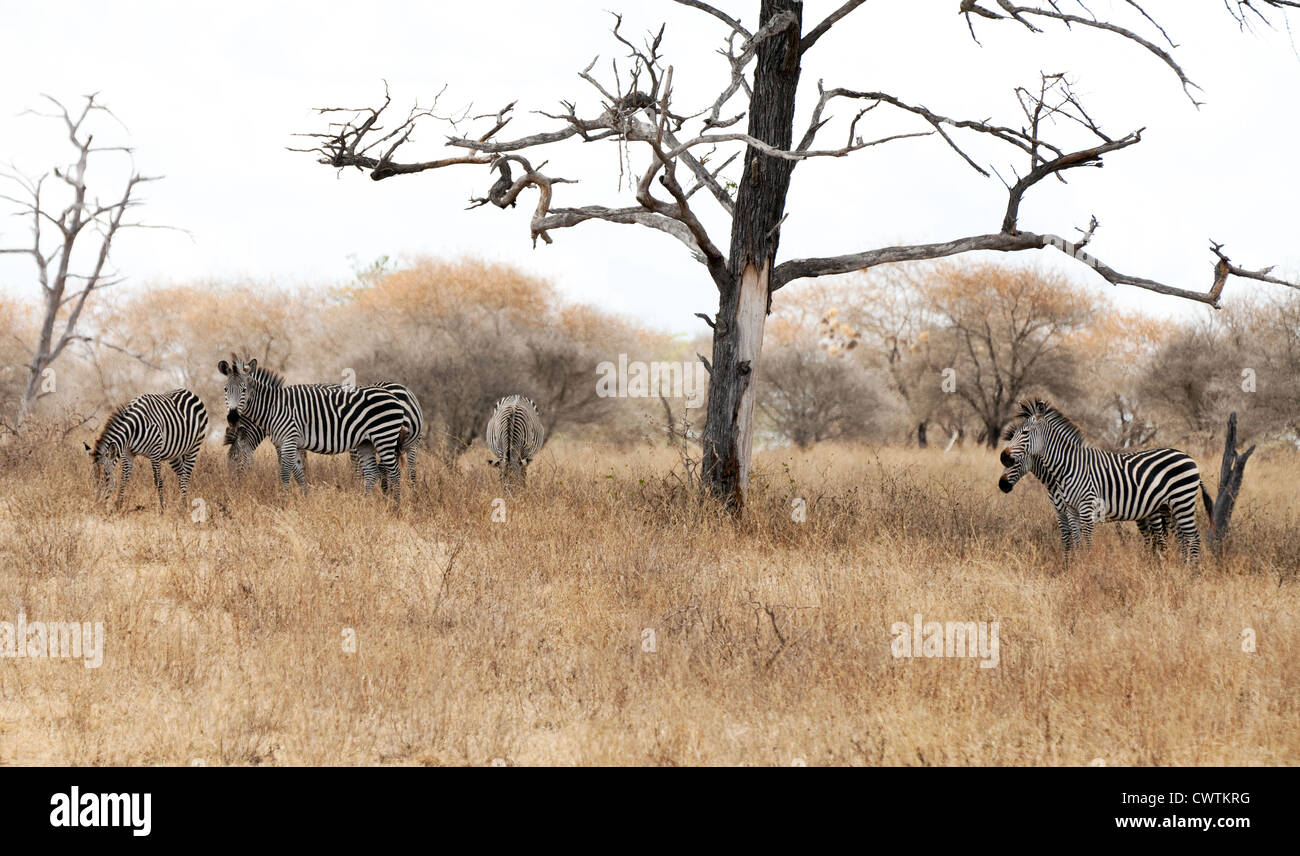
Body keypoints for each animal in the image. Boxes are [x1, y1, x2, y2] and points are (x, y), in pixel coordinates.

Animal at [218, 353, 408, 499]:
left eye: (244, 390)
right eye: (225, 389)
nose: (233, 418)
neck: (274, 407)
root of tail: (392, 396)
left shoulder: (288, 441)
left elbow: (285, 472)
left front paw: (283, 502)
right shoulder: (289, 443)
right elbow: (299, 473)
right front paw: (305, 498)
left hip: (383, 437)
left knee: (394, 472)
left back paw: (395, 507)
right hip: (366, 442)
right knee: (372, 473)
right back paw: (366, 503)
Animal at [998, 400, 1211, 559]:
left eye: (1025, 433)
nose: (1003, 458)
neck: (1065, 468)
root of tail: (1188, 456)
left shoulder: (1085, 507)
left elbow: (1085, 541)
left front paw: (1087, 568)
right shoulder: (1068, 510)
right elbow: (1073, 540)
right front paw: (1074, 568)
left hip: (1179, 502)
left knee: (1190, 538)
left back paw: (1191, 574)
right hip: (1169, 507)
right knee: (1181, 538)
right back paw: (1180, 568)